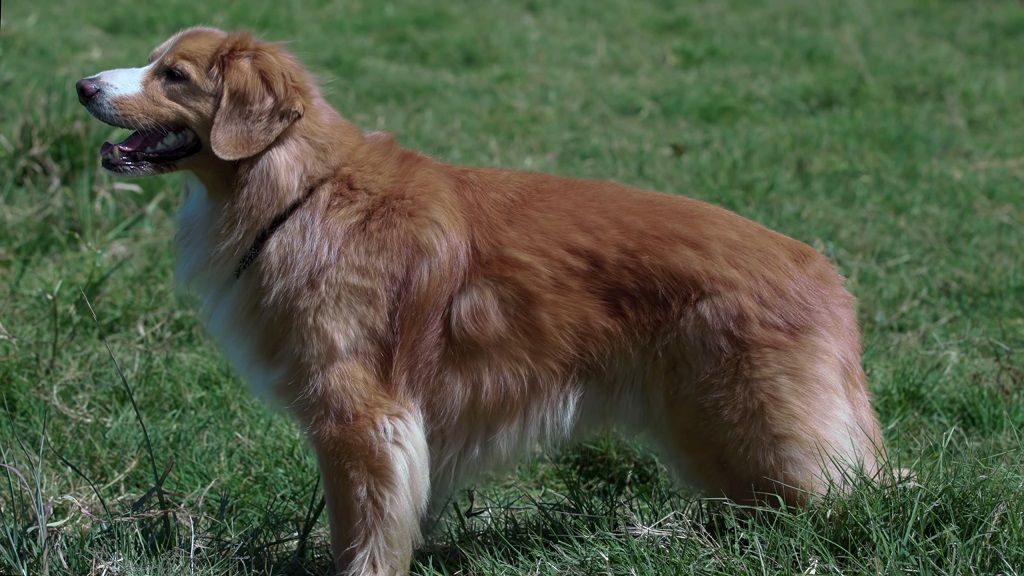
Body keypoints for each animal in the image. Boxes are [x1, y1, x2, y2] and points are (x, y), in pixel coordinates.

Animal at [75, 25, 884, 573]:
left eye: (174, 74)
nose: (82, 87)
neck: (299, 187)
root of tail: (821, 271)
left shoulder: (359, 419)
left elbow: (363, 533)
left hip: (757, 437)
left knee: (856, 502)